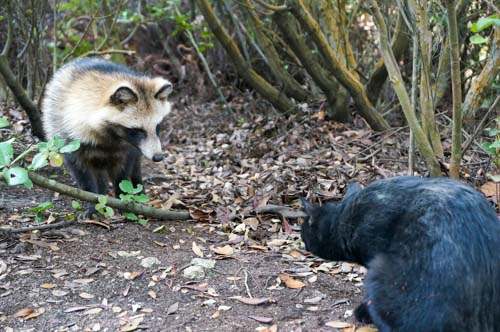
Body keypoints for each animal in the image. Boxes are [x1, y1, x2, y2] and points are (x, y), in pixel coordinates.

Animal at [42, 57, 174, 215]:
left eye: (158, 126)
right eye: (138, 130)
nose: (158, 156)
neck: (111, 136)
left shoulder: (128, 148)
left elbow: (123, 174)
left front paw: (122, 198)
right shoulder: (67, 137)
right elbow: (83, 176)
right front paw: (93, 201)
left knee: (135, 165)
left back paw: (138, 185)